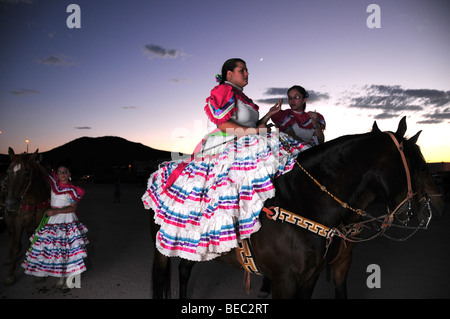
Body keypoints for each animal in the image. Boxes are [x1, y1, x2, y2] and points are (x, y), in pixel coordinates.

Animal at [2, 148, 49, 284]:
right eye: (8, 172)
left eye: (27, 173)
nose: (10, 203)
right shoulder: (17, 223)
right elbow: (16, 246)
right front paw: (10, 274)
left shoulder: (39, 222)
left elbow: (35, 241)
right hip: (8, 220)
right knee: (12, 236)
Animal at [149, 118, 444, 300]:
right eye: (419, 165)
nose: (435, 207)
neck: (303, 201)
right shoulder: (285, 282)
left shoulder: (313, 276)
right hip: (162, 251)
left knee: (184, 271)